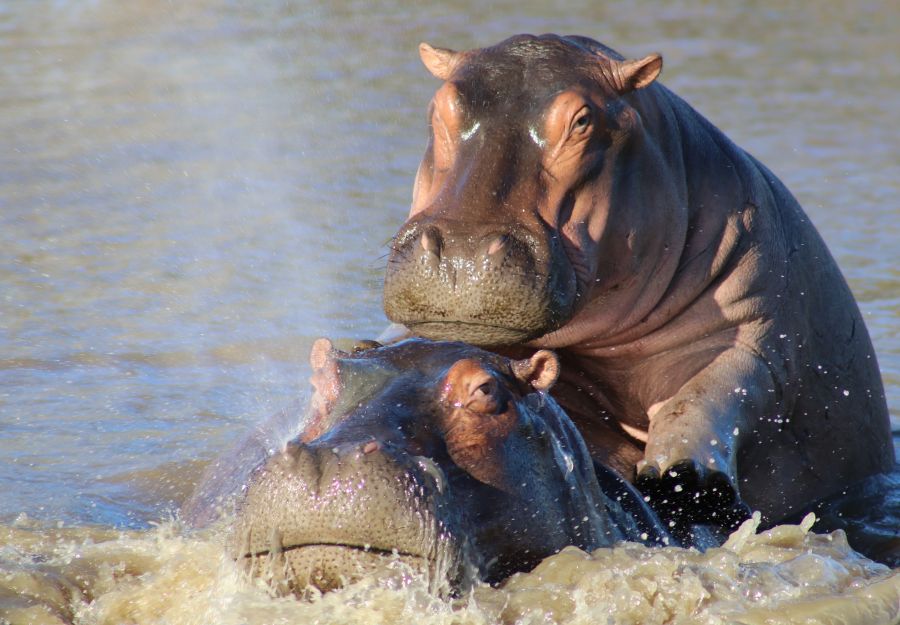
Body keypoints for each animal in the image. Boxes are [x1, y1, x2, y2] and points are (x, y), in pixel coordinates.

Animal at [384, 33, 896, 520]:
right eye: (439, 106)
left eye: (582, 121)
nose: (462, 252)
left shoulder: (754, 329)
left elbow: (709, 392)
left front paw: (683, 476)